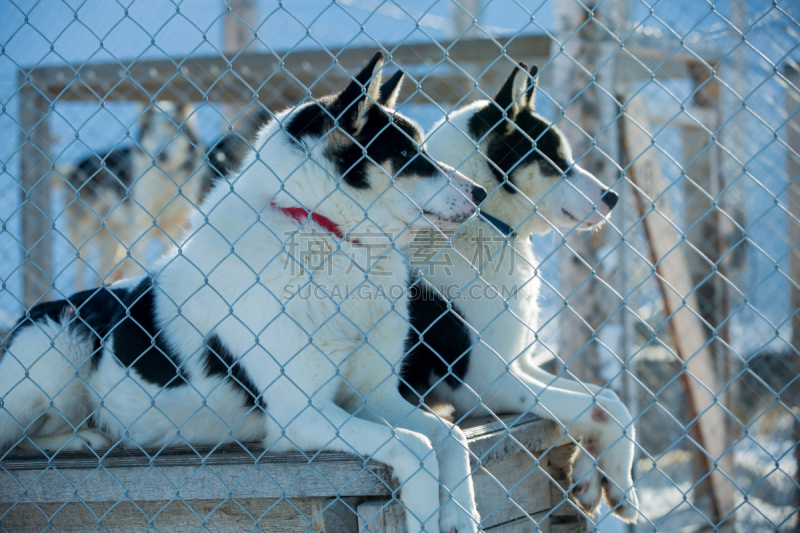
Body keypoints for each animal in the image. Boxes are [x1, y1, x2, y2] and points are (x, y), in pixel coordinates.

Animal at [63, 103, 205, 286]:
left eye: (174, 130)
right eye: (153, 131)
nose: (162, 155)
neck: (166, 179)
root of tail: (77, 165)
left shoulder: (172, 231)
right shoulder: (140, 228)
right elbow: (138, 266)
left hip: (113, 244)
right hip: (83, 239)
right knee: (79, 274)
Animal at [396, 64, 640, 520]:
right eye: (555, 161)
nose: (613, 197)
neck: (481, 222)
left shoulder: (520, 364)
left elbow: (609, 399)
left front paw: (593, 477)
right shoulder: (484, 382)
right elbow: (600, 410)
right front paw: (618, 484)